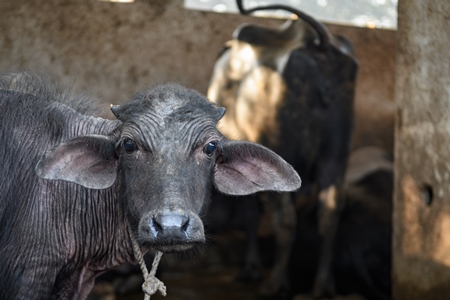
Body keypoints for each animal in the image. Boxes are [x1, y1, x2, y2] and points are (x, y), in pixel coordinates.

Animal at [207, 0, 358, 298]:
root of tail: (319, 46)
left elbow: (251, 215)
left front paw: (251, 268)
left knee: (286, 219)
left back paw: (275, 283)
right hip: (336, 153)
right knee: (330, 213)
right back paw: (323, 285)